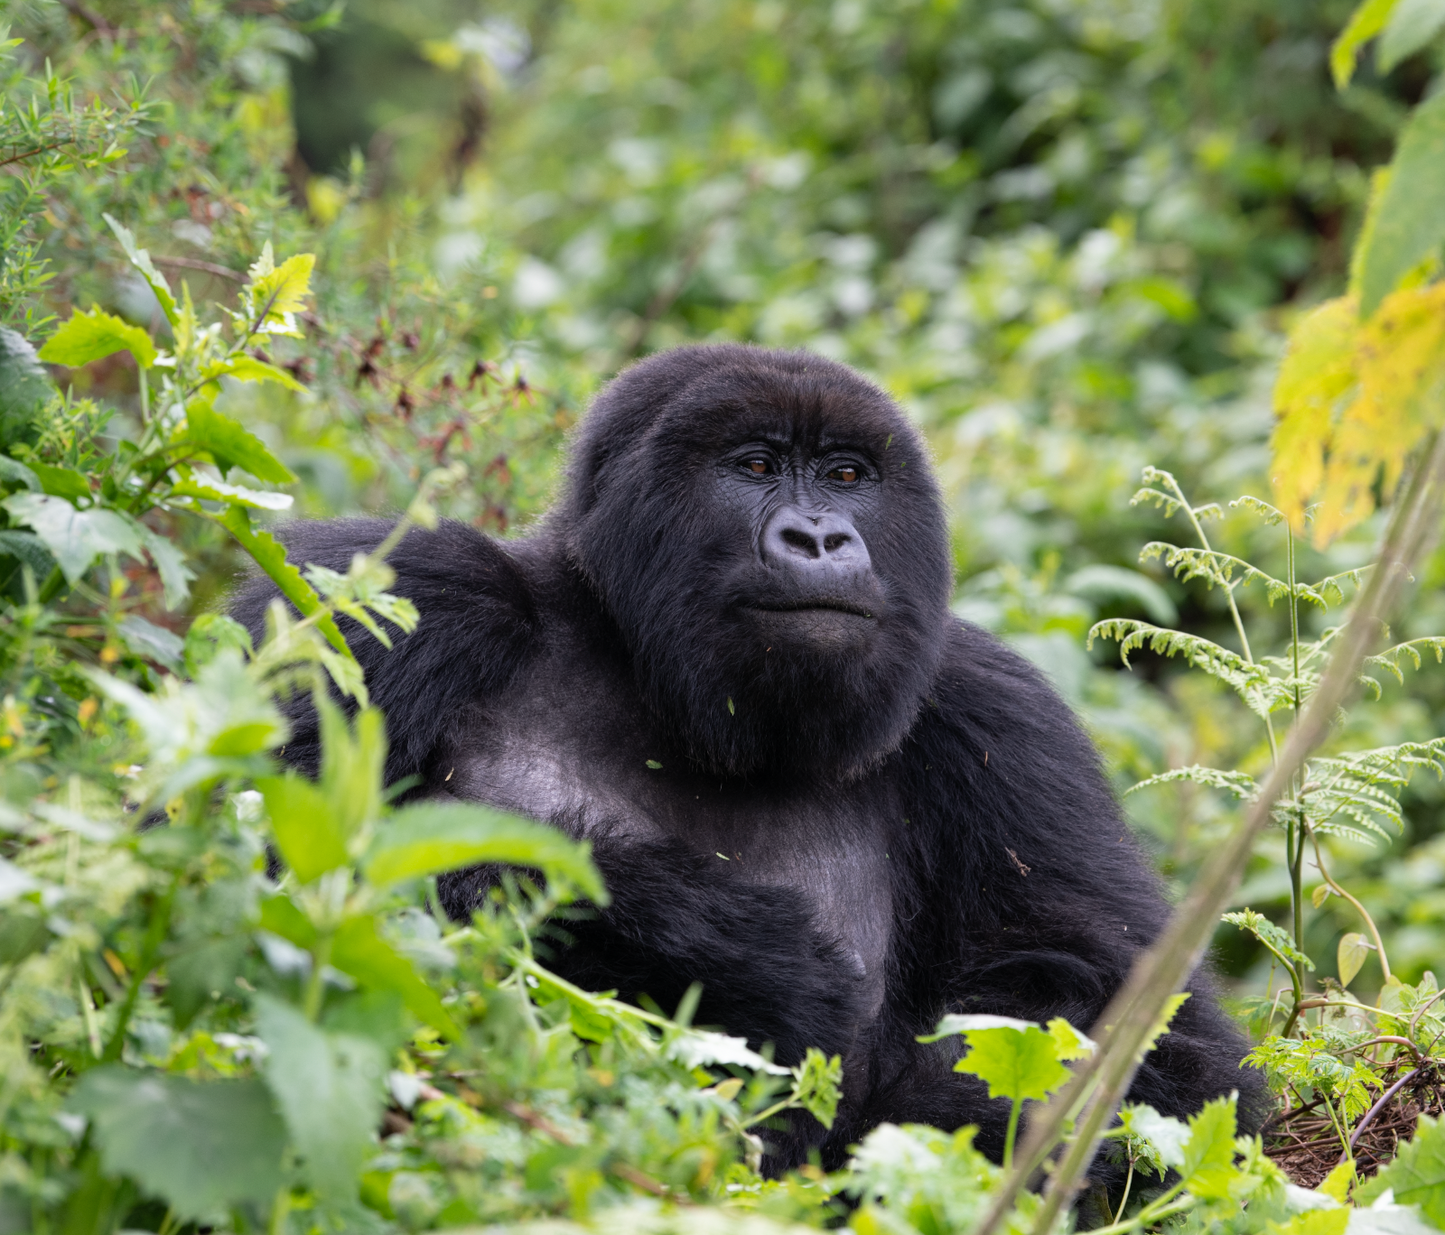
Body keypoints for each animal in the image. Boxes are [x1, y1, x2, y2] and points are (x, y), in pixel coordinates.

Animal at [231, 342, 1260, 1172]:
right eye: (756, 465)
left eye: (845, 474)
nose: (820, 536)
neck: (641, 661)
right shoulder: (400, 591)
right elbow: (270, 860)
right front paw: (733, 949)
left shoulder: (999, 717)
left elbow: (1153, 1043)